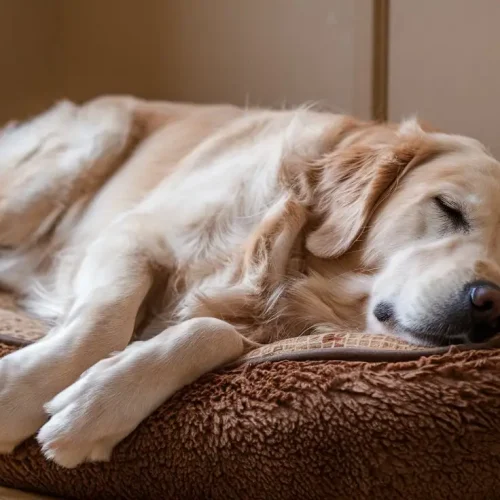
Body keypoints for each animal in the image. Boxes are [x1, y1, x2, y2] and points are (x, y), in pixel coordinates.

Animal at [0, 95, 500, 466]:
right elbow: (103, 322)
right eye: (447, 208)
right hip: (82, 153)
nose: (488, 302)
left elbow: (211, 331)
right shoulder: (133, 235)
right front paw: (18, 391)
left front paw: (101, 403)